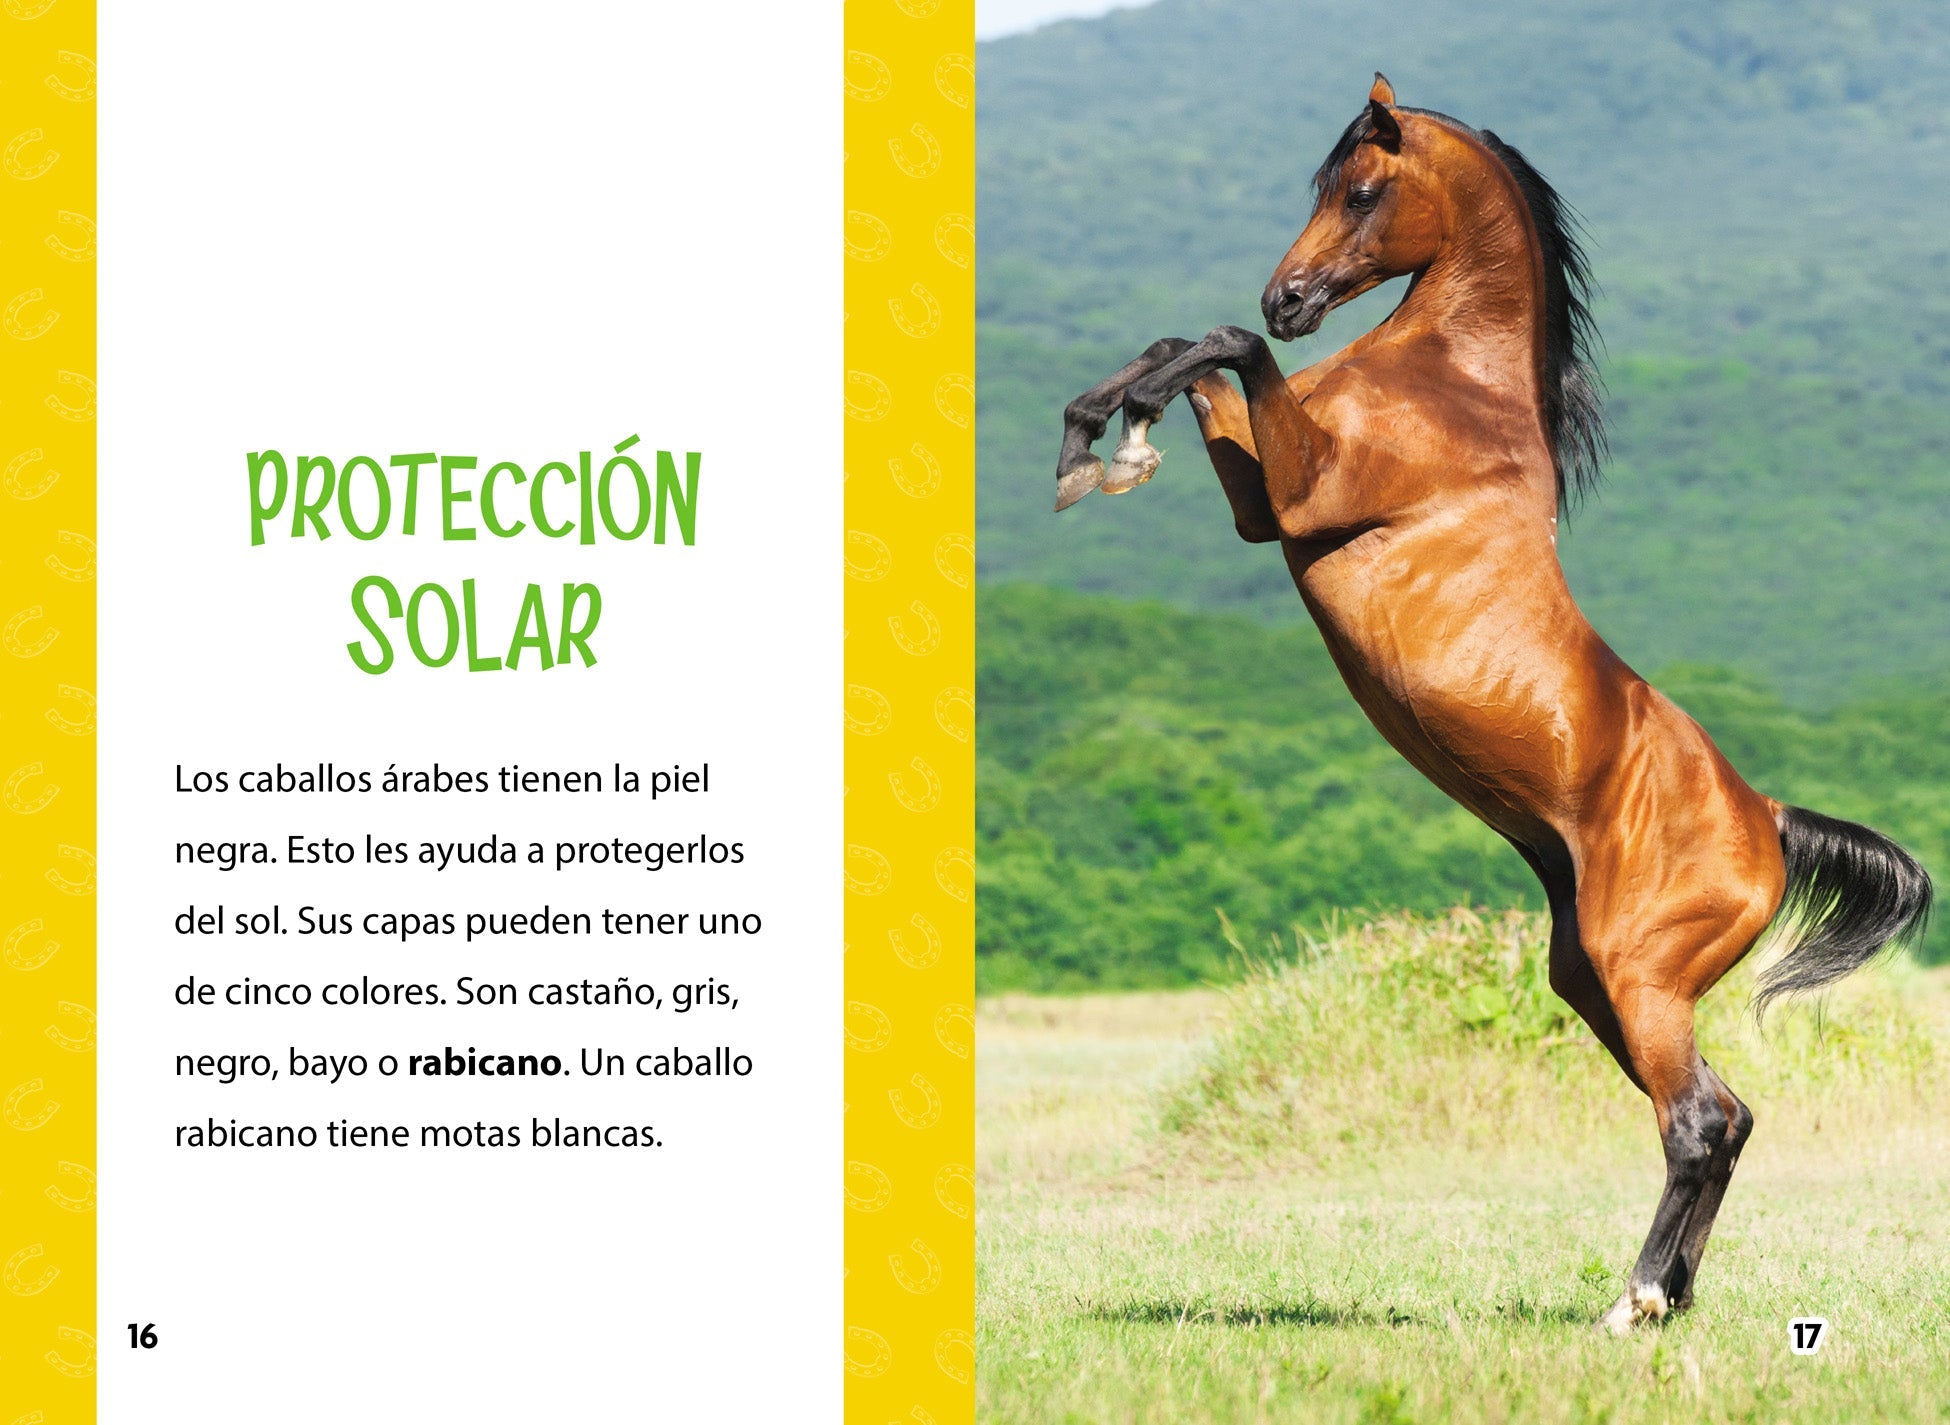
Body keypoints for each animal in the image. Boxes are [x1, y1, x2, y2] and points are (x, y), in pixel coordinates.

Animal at [1050, 74, 1933, 1334]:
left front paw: (1103, 444)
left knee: (1696, 1121)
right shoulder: (1266, 505)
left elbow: (1224, 350)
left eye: (1361, 190)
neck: (1452, 382)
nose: (1290, 298)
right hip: (1595, 981)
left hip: (1639, 976)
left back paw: (1629, 1306)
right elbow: (1192, 353)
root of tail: (1767, 821)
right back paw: (1668, 1299)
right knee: (1730, 1116)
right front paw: (1101, 439)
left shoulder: (1304, 493)